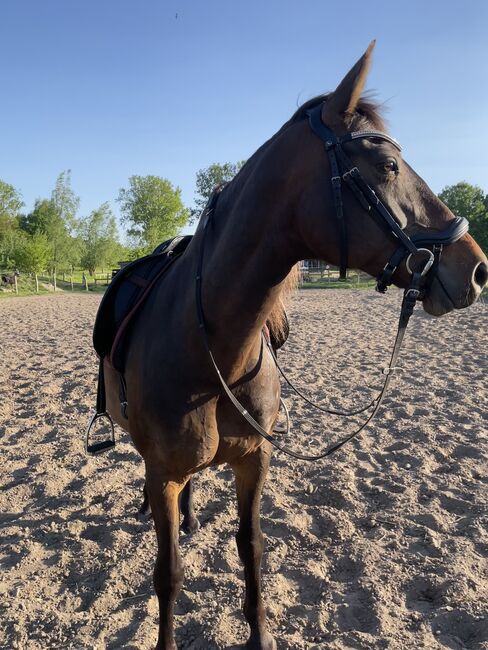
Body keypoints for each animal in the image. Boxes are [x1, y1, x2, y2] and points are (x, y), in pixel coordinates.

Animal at [101, 43, 486, 644]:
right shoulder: (163, 473)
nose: (475, 269)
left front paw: (260, 634)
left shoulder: (254, 461)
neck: (211, 350)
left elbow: (252, 549)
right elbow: (169, 575)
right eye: (387, 166)